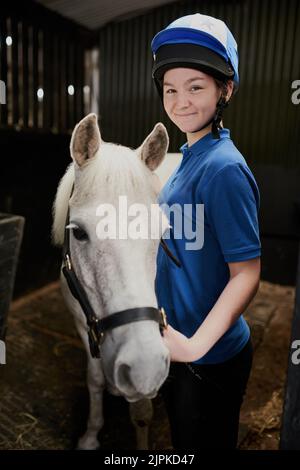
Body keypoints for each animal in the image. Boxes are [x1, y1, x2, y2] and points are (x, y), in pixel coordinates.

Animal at [51, 113, 171, 448]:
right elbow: (94, 379)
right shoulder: (83, 324)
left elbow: (141, 409)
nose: (144, 365)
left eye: (162, 233)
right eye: (79, 232)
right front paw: (90, 435)